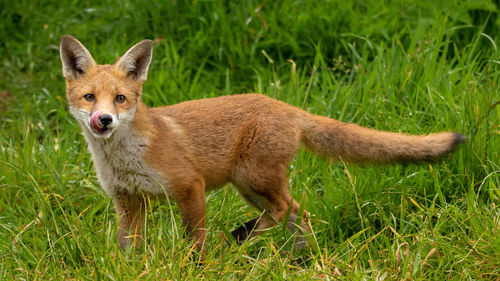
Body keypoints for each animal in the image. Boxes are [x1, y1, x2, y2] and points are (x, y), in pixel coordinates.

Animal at [58, 35, 464, 254]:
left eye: (121, 99)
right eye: (90, 97)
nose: (104, 120)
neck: (125, 158)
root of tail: (284, 105)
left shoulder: (190, 187)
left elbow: (194, 242)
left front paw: (196, 266)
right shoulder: (128, 202)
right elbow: (129, 249)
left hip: (251, 178)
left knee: (284, 209)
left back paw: (242, 237)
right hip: (252, 187)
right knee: (298, 211)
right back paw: (301, 257)